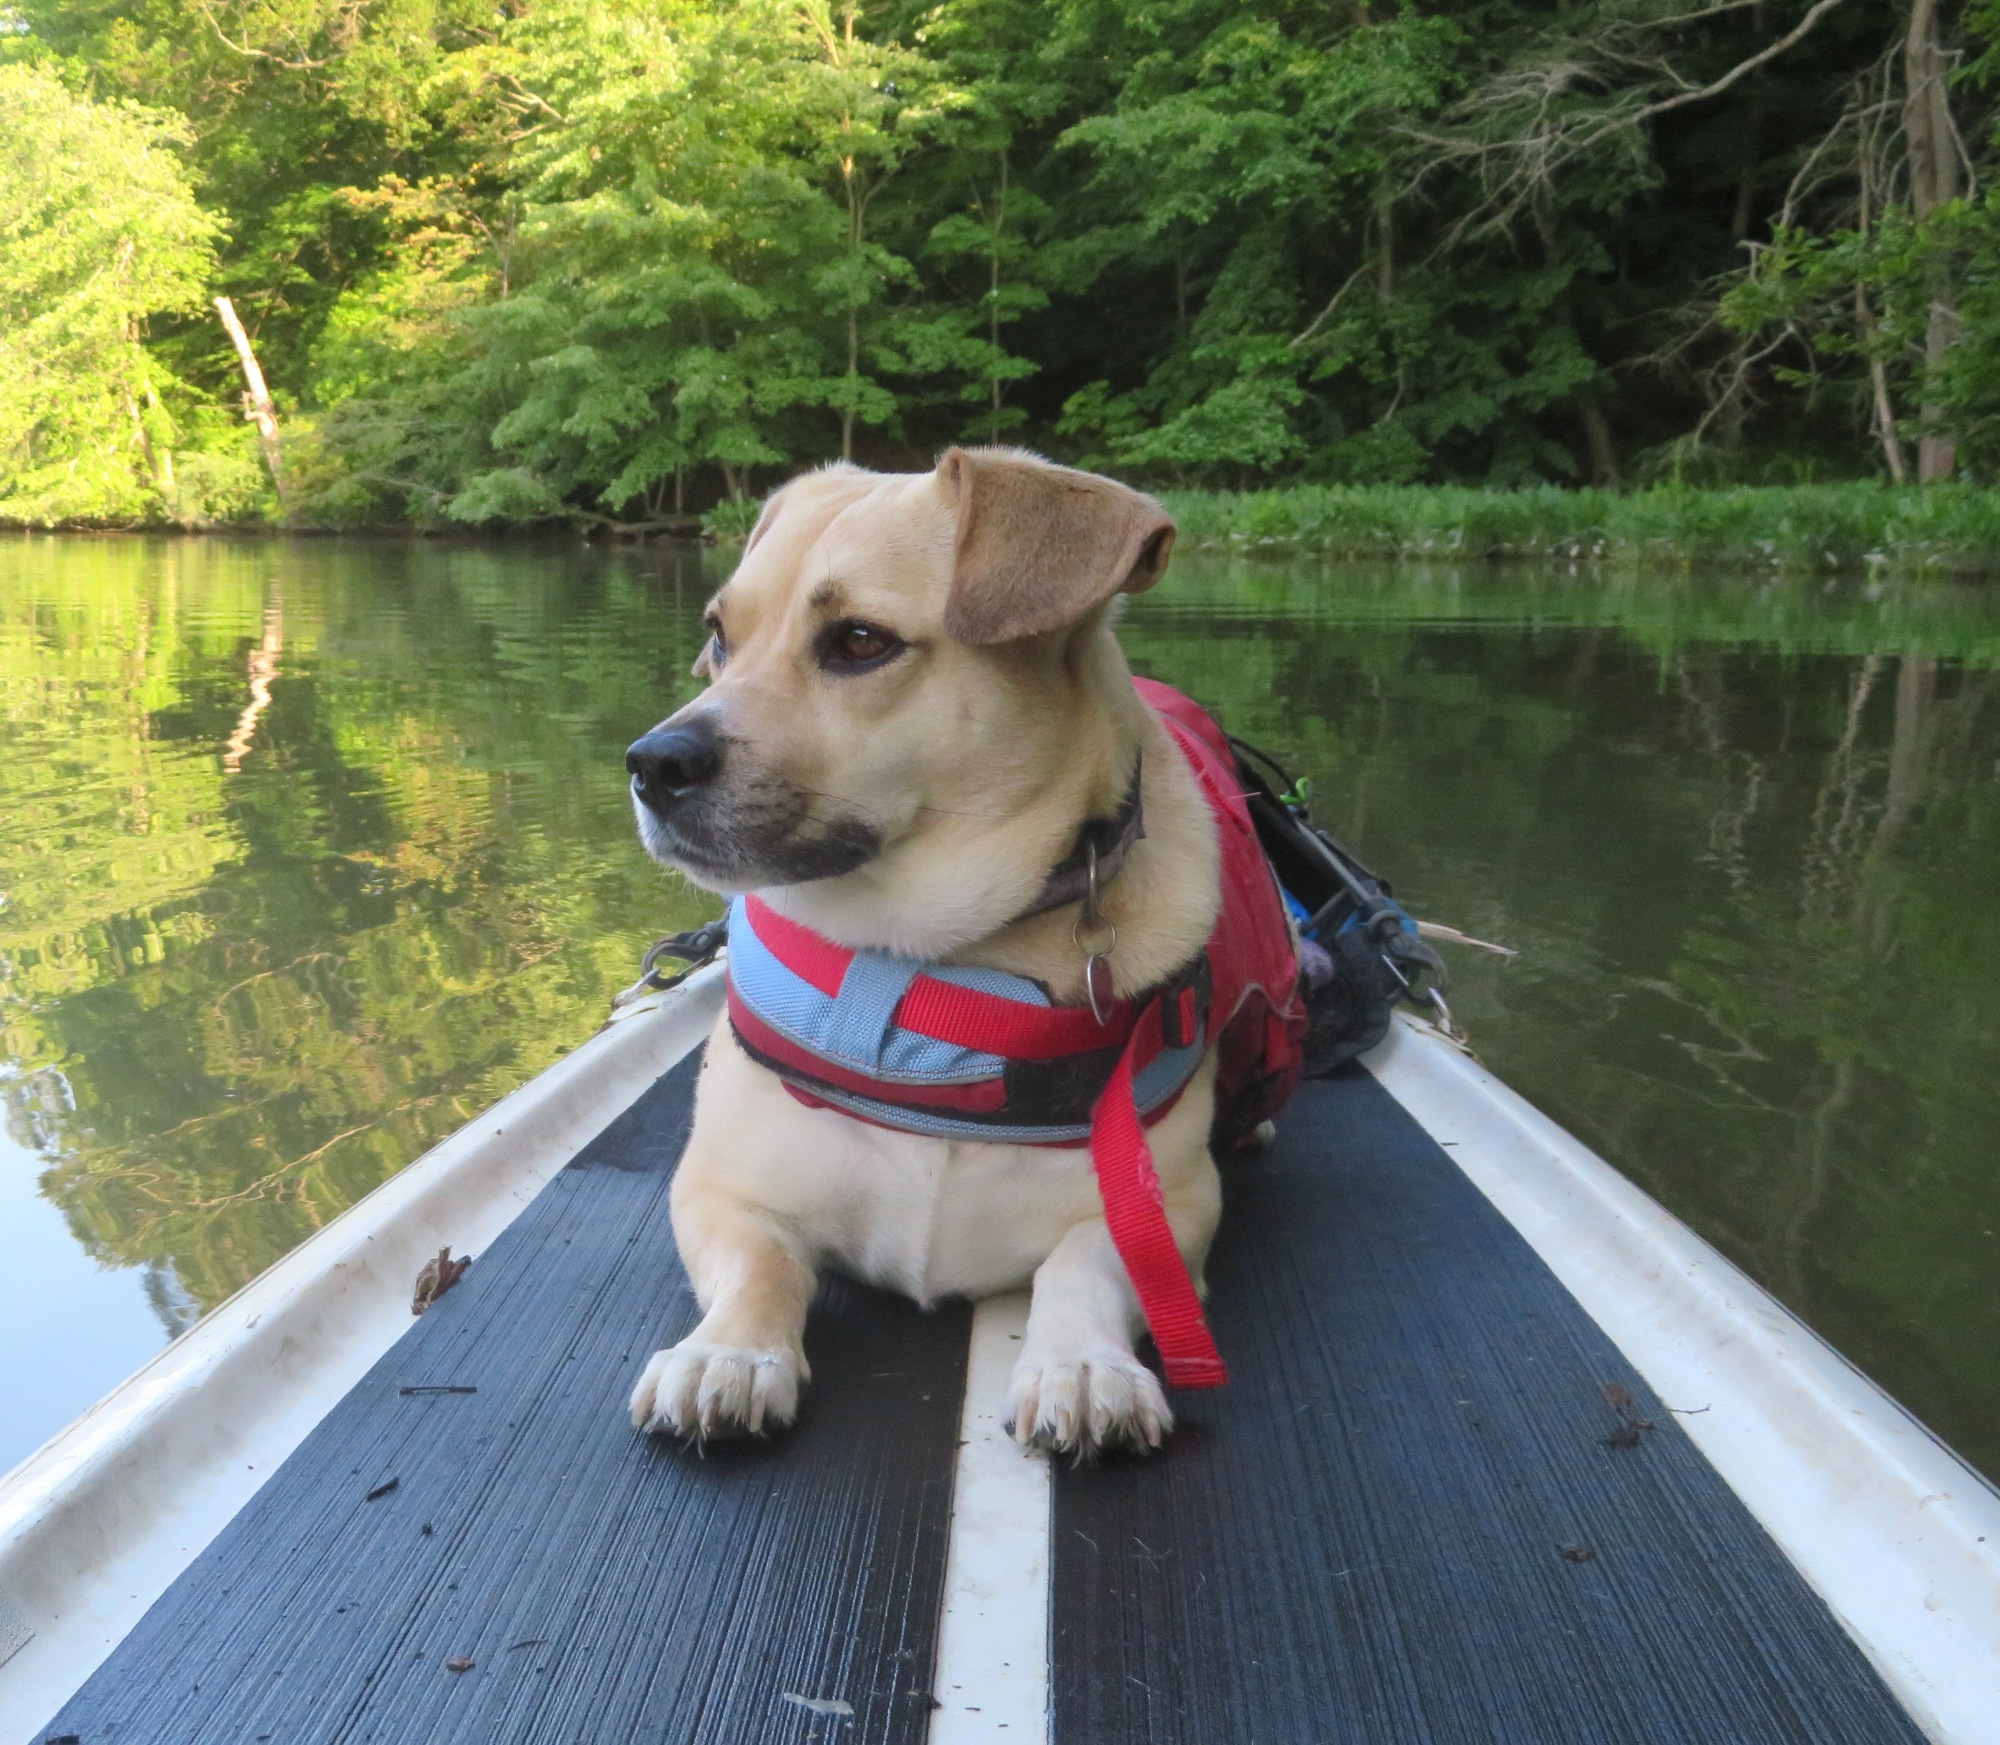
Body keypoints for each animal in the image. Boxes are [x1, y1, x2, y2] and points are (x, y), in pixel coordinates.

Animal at [624, 450, 1216, 1456]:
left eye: (861, 641)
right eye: (719, 637)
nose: (651, 762)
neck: (929, 978)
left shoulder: (1176, 1201)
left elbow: (1087, 1262)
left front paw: (1082, 1363)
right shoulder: (721, 1189)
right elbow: (760, 1264)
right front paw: (730, 1351)